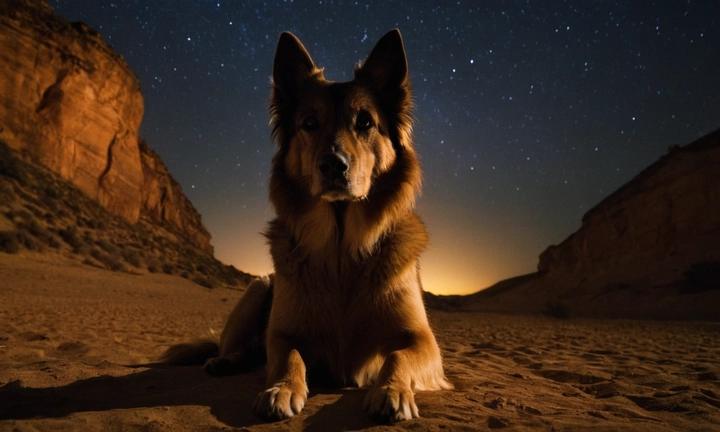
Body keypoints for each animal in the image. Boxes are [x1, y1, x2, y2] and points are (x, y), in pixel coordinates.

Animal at [163, 28, 450, 424]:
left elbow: (398, 355)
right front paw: (282, 389)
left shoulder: (422, 340)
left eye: (365, 122)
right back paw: (224, 361)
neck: (341, 250)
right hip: (257, 288)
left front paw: (391, 391)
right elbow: (289, 356)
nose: (333, 165)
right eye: (309, 124)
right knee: (241, 349)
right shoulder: (283, 333)